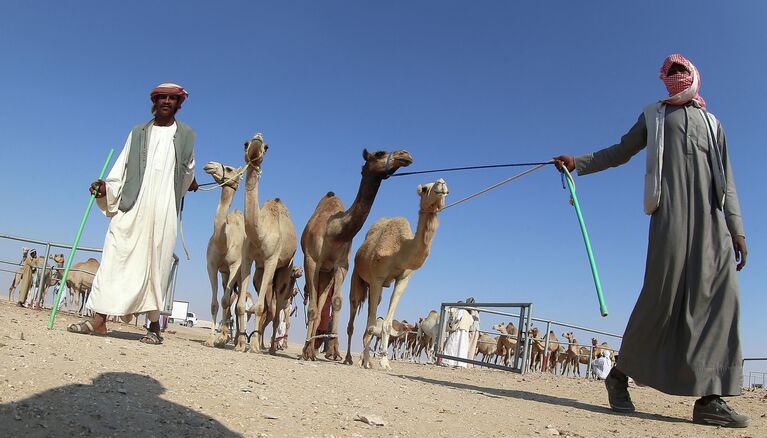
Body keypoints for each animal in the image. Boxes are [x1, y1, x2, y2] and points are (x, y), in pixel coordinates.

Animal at [236, 133, 298, 352]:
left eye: (267, 146)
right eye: (245, 143)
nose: (257, 141)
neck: (260, 234)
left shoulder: (272, 259)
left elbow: (261, 307)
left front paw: (254, 345)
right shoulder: (248, 257)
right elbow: (242, 305)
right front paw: (240, 344)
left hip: (285, 269)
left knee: (277, 307)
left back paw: (270, 348)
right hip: (261, 272)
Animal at [300, 149, 414, 362]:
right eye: (379, 153)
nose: (405, 155)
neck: (334, 232)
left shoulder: (341, 265)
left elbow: (336, 302)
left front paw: (335, 352)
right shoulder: (311, 260)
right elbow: (312, 308)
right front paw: (310, 351)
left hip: (327, 274)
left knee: (321, 304)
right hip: (317, 268)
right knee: (314, 305)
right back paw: (306, 349)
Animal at [348, 178, 450, 370]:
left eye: (448, 191)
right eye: (424, 188)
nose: (441, 183)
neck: (399, 251)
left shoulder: (403, 279)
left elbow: (385, 324)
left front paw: (384, 362)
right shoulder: (377, 278)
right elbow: (372, 325)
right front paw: (368, 360)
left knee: (370, 317)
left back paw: (362, 359)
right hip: (357, 277)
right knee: (353, 312)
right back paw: (349, 358)